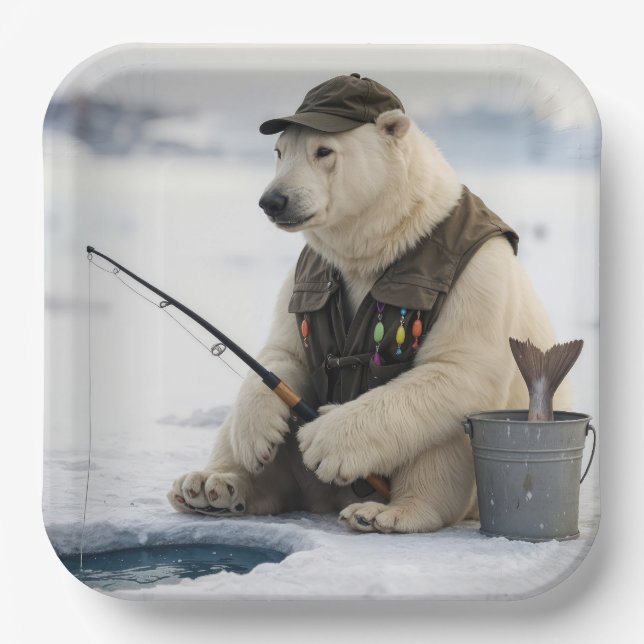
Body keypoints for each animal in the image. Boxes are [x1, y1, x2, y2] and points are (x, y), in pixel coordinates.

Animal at [168, 75, 568, 533]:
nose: (273, 200)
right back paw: (210, 484)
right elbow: (283, 354)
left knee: (441, 425)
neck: (390, 237)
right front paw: (258, 435)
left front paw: (322, 441)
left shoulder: (479, 275)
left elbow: (458, 366)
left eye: (323, 150)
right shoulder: (305, 272)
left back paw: (386, 511)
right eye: (279, 152)